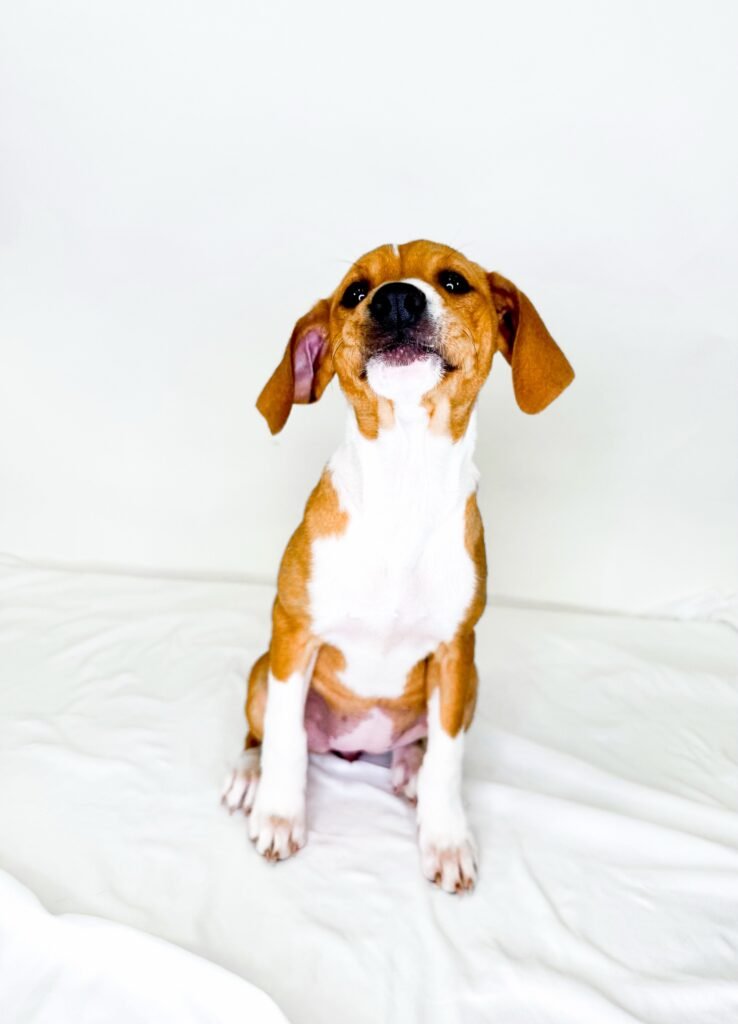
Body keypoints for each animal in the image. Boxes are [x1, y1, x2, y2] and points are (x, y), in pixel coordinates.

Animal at [223, 240, 573, 892]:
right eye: (354, 293)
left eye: (455, 281)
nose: (395, 299)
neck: (405, 478)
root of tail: (354, 747)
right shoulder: (294, 631)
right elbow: (285, 737)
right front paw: (279, 814)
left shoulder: (458, 650)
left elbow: (449, 758)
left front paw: (446, 838)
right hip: (263, 668)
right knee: (265, 730)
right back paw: (250, 775)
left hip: (470, 685)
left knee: (428, 739)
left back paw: (410, 765)